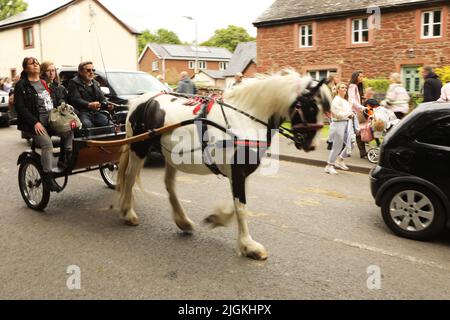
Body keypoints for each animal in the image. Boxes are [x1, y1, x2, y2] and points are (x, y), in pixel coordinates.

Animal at [118, 70, 332, 260]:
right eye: (312, 107)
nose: (312, 145)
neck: (244, 120)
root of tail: (141, 100)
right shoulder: (237, 171)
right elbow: (241, 208)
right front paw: (249, 246)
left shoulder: (241, 172)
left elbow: (237, 204)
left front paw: (218, 218)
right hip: (138, 149)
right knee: (129, 178)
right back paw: (128, 213)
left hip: (170, 155)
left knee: (169, 184)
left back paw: (183, 221)